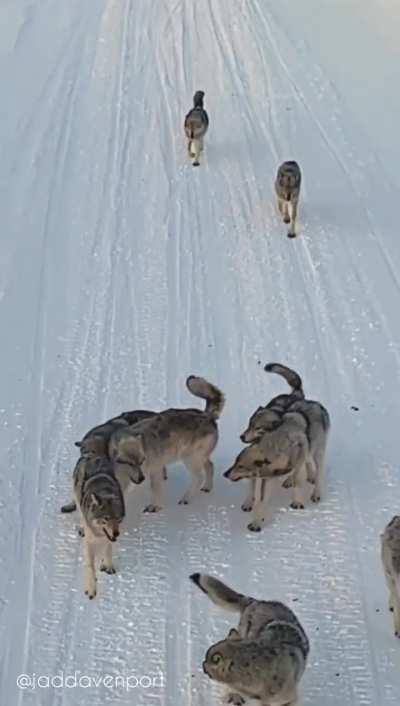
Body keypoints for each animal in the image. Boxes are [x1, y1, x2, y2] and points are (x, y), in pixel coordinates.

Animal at [61, 452, 142, 599]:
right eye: (106, 518)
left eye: (118, 519)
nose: (117, 533)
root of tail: (91, 454)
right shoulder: (89, 541)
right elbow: (90, 566)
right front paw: (91, 588)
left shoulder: (109, 537)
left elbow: (108, 548)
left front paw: (107, 564)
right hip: (77, 497)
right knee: (80, 513)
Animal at [109, 375, 225, 512]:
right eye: (129, 463)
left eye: (142, 461)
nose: (142, 479)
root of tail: (207, 415)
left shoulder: (155, 469)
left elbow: (156, 489)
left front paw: (154, 507)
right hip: (198, 457)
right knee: (210, 466)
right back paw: (207, 487)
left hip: (190, 459)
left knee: (198, 477)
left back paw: (186, 498)